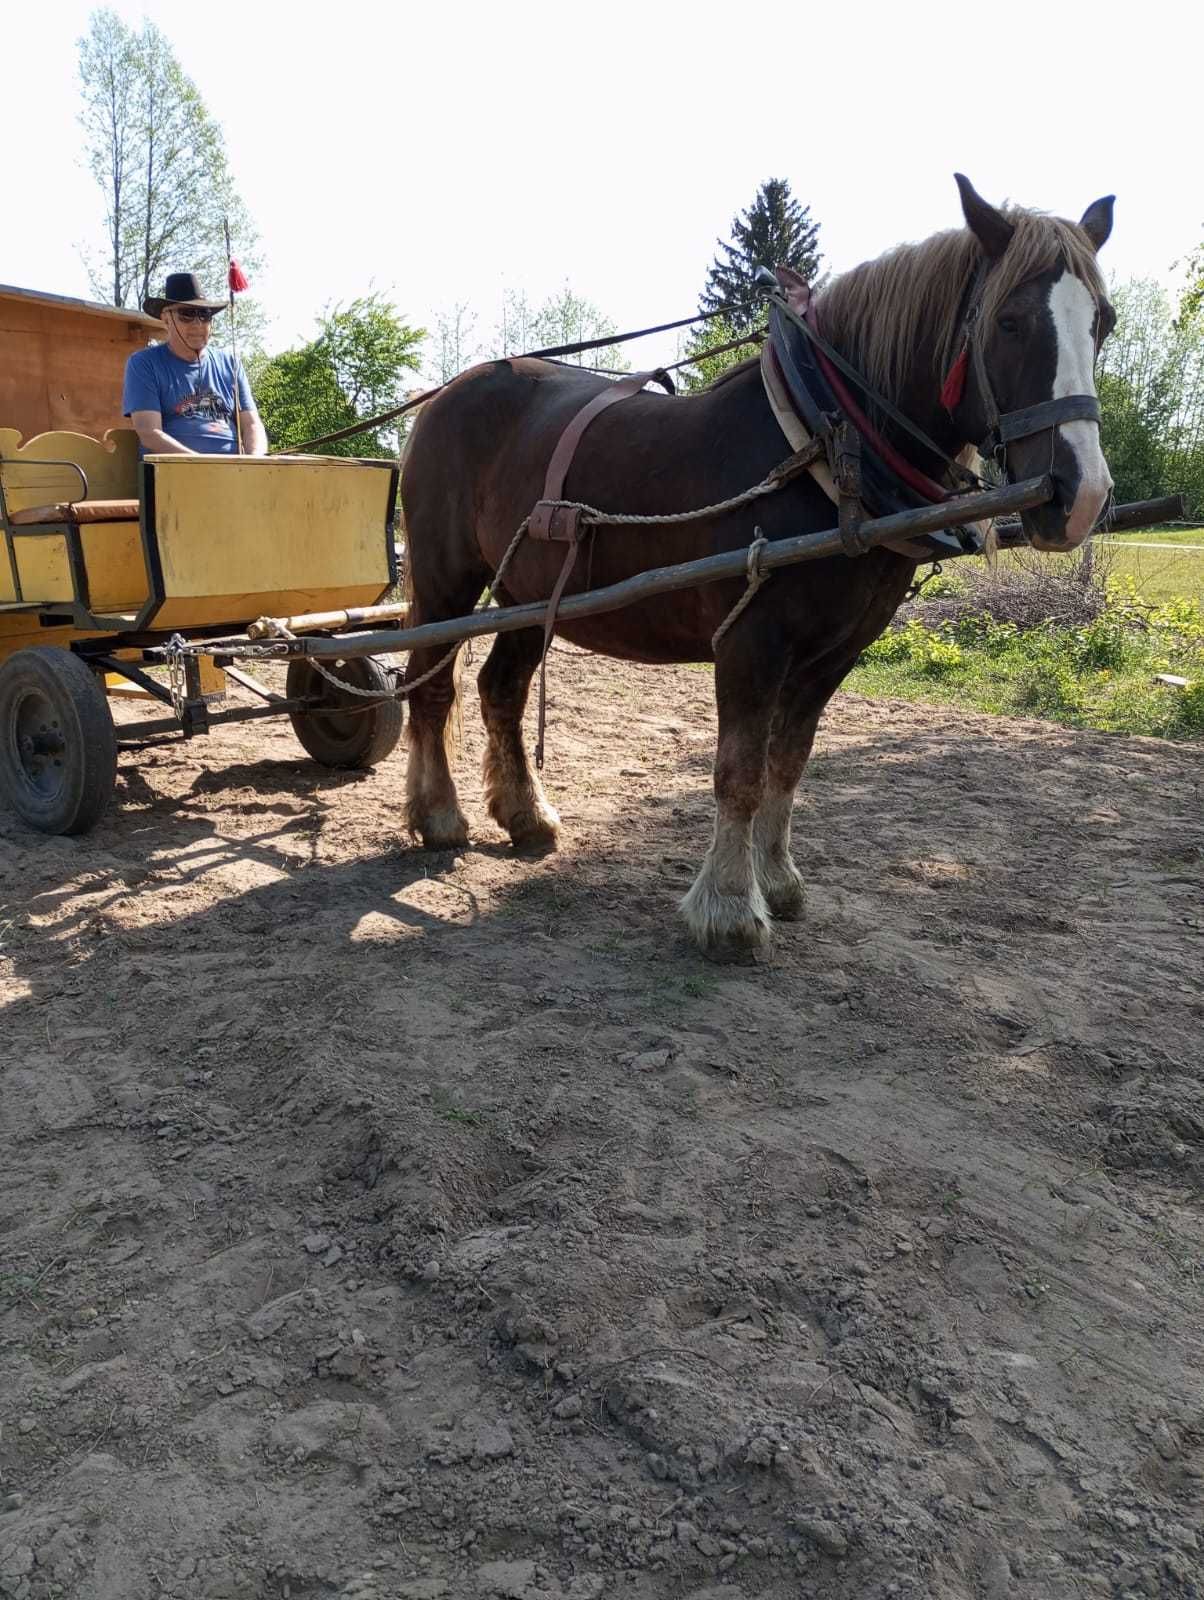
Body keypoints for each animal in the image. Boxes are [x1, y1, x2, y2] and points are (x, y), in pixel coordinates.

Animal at [400, 178, 1114, 947]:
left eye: (1102, 323)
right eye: (1010, 321)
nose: (1080, 494)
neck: (825, 445)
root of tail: (447, 394)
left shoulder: (836, 652)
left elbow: (787, 764)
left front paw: (779, 880)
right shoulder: (751, 639)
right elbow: (739, 771)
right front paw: (730, 907)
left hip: (529, 595)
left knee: (501, 688)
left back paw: (526, 815)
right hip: (444, 582)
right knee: (428, 688)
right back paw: (437, 814)